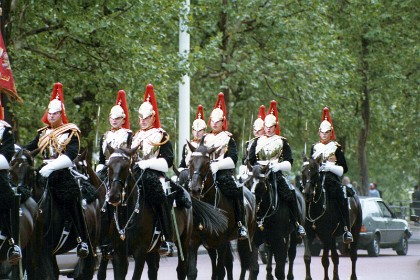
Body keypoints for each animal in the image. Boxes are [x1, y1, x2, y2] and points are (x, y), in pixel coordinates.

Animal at [106, 147, 195, 280]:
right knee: (153, 271)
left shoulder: (140, 252)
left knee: (181, 269)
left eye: (126, 167)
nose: (113, 196)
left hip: (184, 242)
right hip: (152, 251)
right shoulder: (119, 255)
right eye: (109, 166)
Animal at [187, 142, 260, 280]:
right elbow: (193, 272)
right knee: (230, 264)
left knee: (249, 265)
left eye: (207, 163)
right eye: (190, 161)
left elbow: (220, 272)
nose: (195, 189)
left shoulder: (221, 243)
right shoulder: (195, 241)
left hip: (249, 237)